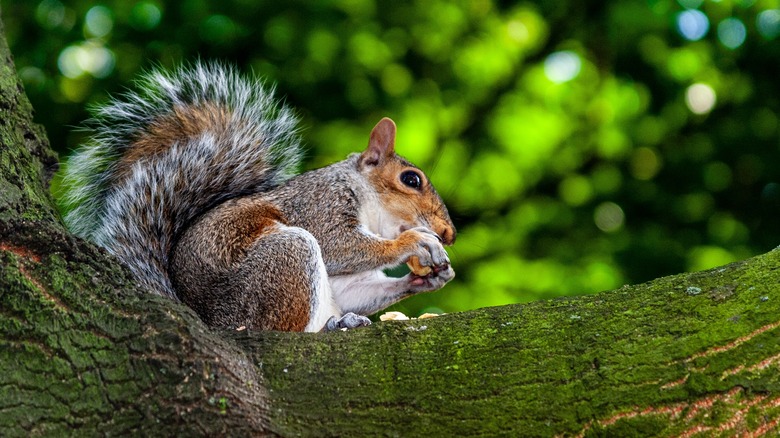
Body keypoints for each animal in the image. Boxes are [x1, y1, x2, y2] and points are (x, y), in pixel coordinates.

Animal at [64, 61, 460, 332]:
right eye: (411, 179)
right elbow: (339, 246)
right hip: (284, 260)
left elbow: (355, 290)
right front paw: (415, 242)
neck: (365, 200)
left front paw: (430, 277)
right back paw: (332, 327)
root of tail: (214, 323)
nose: (449, 234)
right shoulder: (319, 205)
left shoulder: (344, 280)